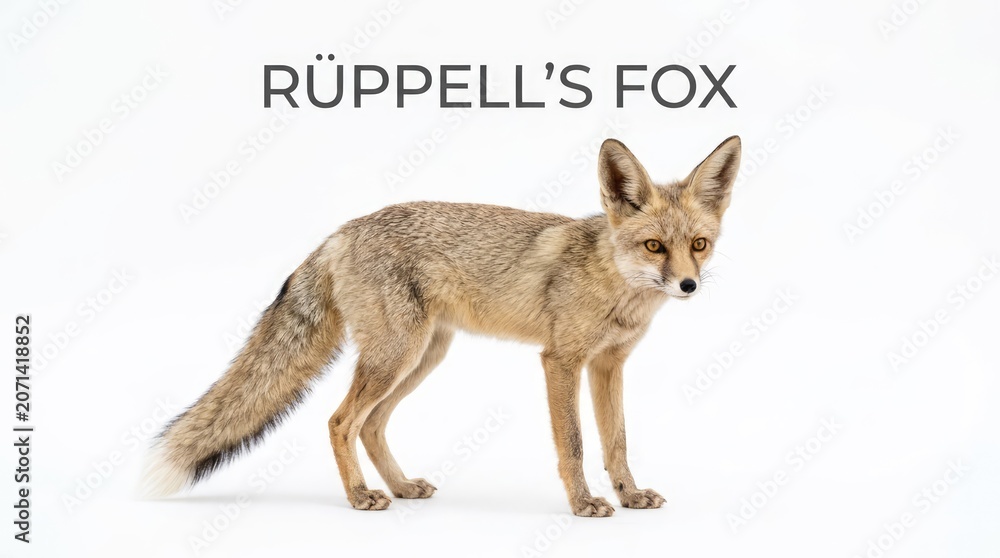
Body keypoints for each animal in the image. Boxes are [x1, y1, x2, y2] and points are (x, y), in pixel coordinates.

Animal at [143, 135, 742, 517]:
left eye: (699, 244)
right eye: (654, 246)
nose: (688, 285)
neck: (614, 285)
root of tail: (343, 230)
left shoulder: (609, 366)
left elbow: (617, 442)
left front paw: (628, 495)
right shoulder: (561, 362)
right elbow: (572, 444)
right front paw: (583, 504)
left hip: (422, 358)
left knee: (370, 426)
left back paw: (400, 486)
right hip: (396, 356)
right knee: (340, 421)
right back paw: (360, 497)